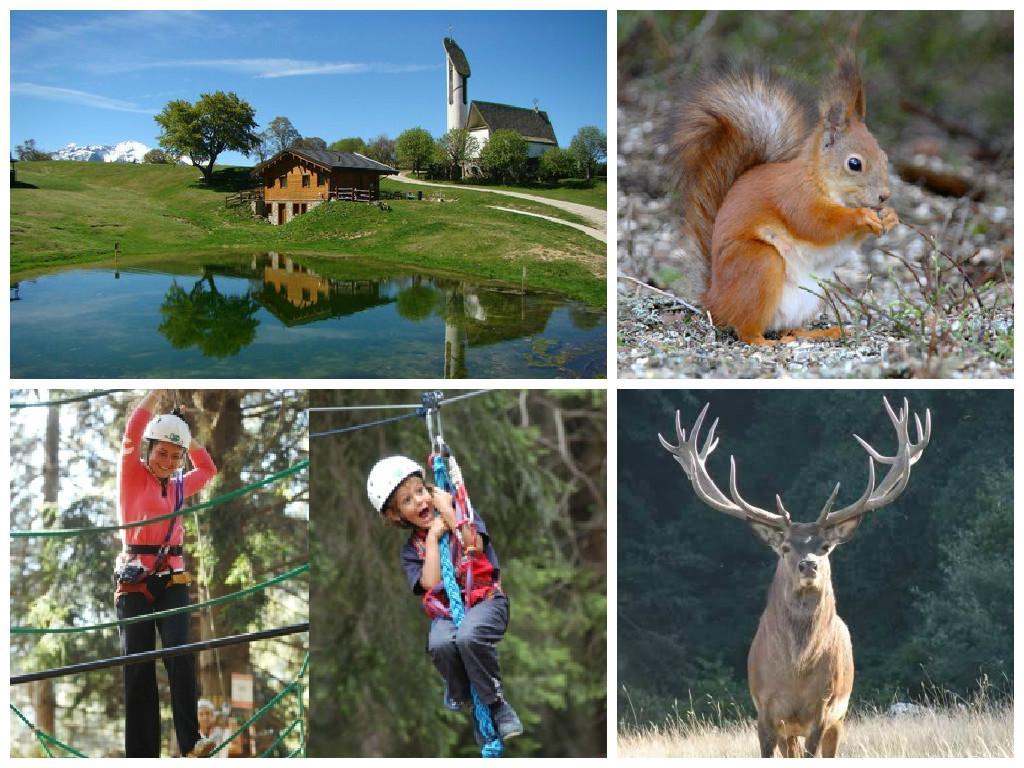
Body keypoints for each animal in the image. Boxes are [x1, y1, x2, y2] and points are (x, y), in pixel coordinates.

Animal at [675, 52, 901, 344]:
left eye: (884, 157)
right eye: (854, 164)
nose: (884, 196)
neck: (819, 179)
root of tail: (714, 300)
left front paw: (890, 218)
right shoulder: (794, 197)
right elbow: (816, 223)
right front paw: (861, 216)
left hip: (814, 294)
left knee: (786, 328)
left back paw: (818, 332)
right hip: (759, 263)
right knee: (746, 329)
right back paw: (763, 342)